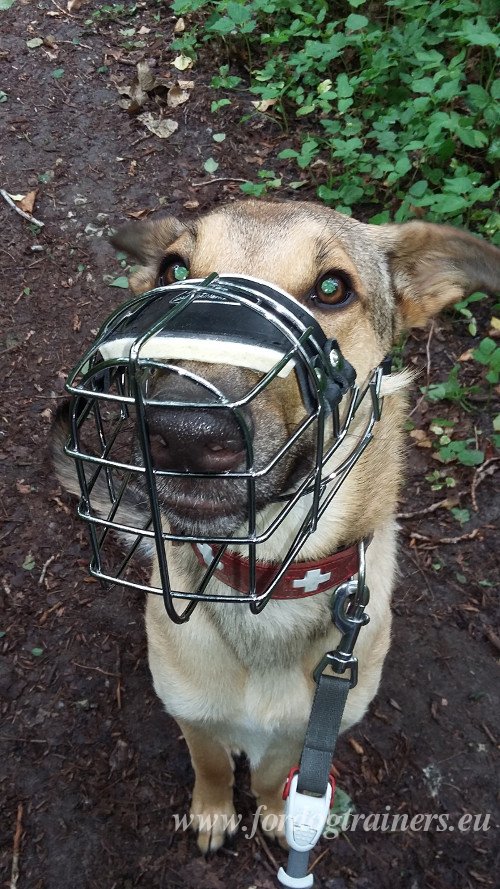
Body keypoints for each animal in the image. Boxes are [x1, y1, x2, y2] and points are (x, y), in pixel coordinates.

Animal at [51, 201, 500, 852]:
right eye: (173, 269)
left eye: (333, 288)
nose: (184, 434)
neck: (266, 581)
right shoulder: (191, 712)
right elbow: (211, 763)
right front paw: (214, 811)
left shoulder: (306, 730)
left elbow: (270, 774)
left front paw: (271, 812)